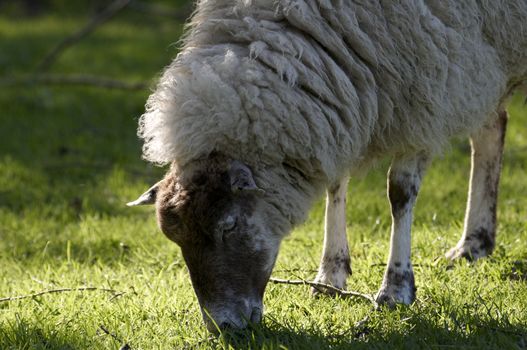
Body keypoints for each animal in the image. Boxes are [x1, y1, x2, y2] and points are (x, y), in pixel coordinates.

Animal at [129, 0, 527, 332]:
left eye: (229, 225)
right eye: (176, 238)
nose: (222, 327)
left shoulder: (431, 85)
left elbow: (400, 192)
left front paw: (396, 289)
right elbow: (336, 184)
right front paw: (330, 275)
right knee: (492, 127)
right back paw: (474, 242)